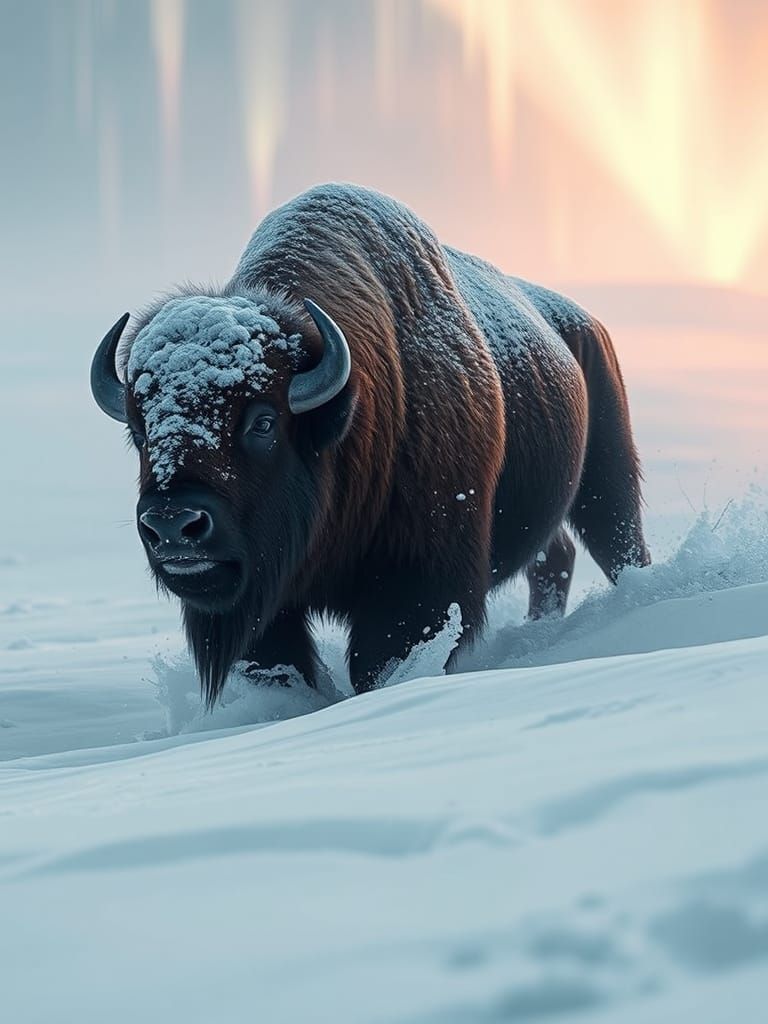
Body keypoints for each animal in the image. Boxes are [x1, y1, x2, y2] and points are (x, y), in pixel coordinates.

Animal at [91, 183, 649, 704]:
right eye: (140, 430)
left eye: (263, 423)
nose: (172, 524)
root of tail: (582, 323)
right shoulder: (267, 605)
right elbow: (281, 662)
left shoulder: (418, 580)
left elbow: (381, 656)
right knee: (553, 557)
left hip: (607, 478)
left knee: (619, 544)